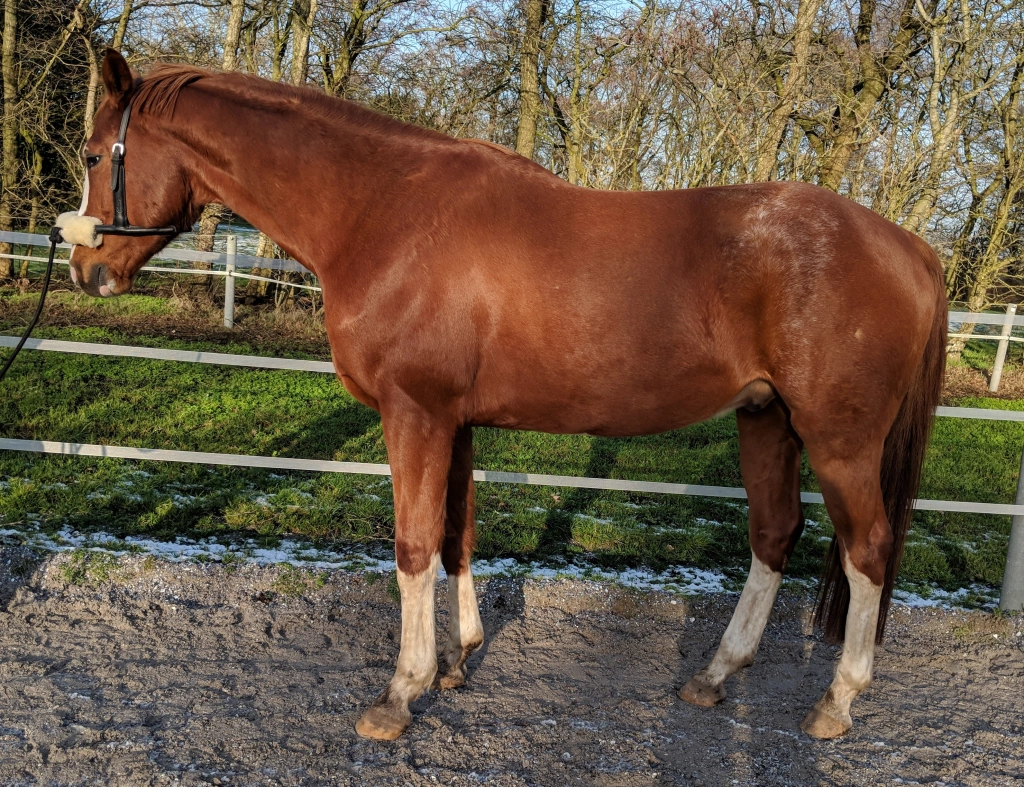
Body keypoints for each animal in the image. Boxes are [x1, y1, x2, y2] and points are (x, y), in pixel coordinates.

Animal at [60, 49, 946, 742]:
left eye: (98, 152)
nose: (86, 268)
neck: (383, 210)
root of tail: (908, 245)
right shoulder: (453, 420)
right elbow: (456, 535)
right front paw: (458, 661)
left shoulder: (415, 414)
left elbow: (413, 544)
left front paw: (400, 692)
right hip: (766, 420)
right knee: (774, 534)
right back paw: (716, 675)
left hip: (838, 439)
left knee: (867, 548)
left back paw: (837, 701)